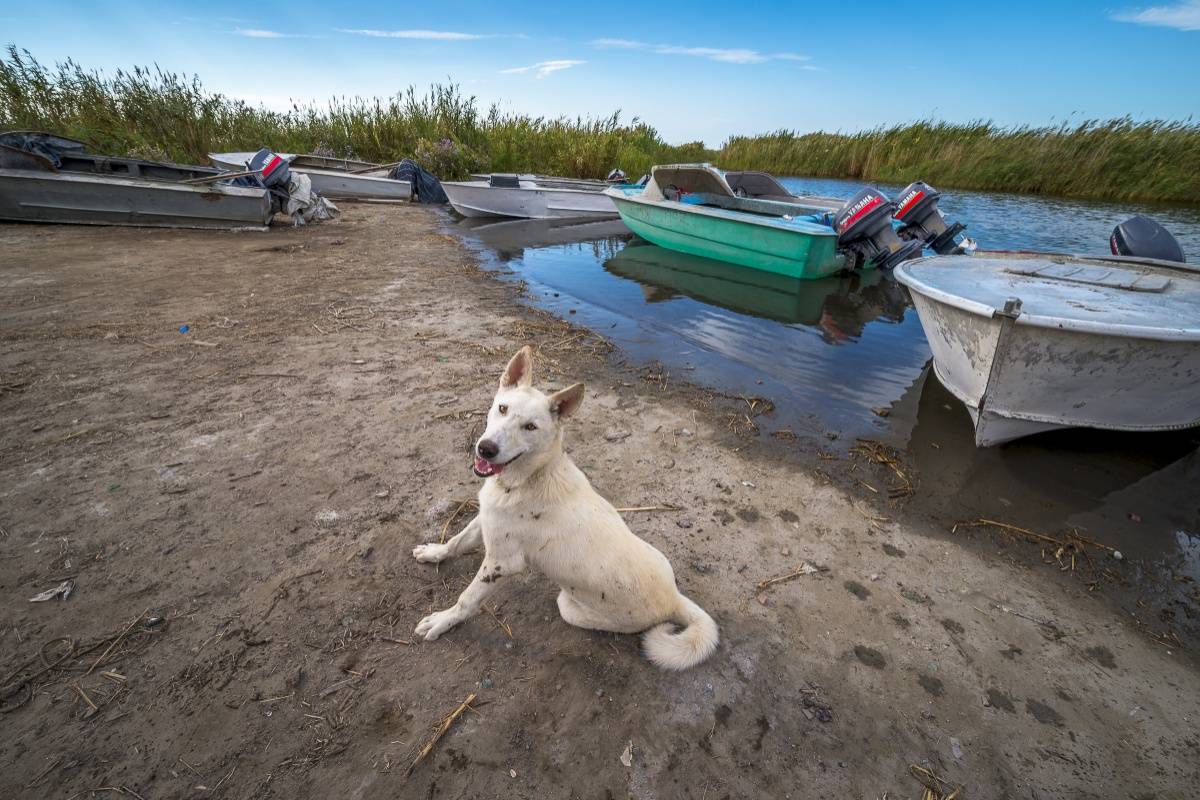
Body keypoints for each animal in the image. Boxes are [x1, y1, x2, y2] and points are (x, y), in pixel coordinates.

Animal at [412, 347, 715, 671]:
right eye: (502, 408)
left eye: (530, 427)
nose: (486, 448)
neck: (529, 477)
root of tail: (674, 599)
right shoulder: (487, 519)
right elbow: (456, 542)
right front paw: (434, 552)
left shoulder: (500, 564)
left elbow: (467, 599)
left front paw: (443, 620)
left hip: (568, 606)